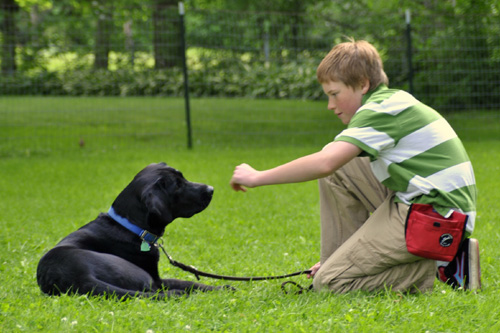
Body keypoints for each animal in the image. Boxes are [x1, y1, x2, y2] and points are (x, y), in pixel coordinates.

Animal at [37, 162, 230, 300]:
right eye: (178, 186)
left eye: (183, 177)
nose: (211, 189)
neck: (131, 226)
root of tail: (79, 278)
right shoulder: (156, 278)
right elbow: (189, 283)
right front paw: (221, 288)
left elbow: (190, 282)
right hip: (141, 276)